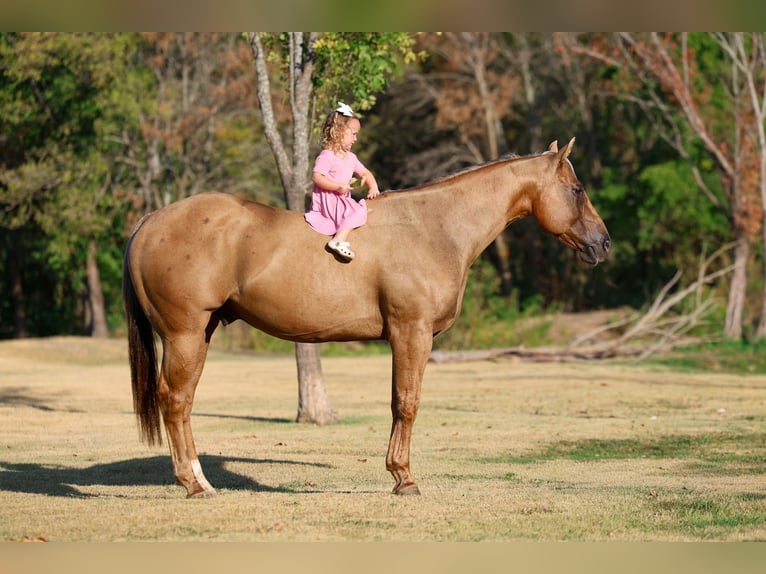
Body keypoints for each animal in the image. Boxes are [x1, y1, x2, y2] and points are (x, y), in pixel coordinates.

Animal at [123, 138, 610, 498]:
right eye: (577, 190)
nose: (603, 244)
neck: (433, 228)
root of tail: (150, 220)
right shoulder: (412, 334)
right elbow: (406, 403)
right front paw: (404, 478)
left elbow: (400, 403)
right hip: (185, 334)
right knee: (175, 400)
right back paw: (192, 484)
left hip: (199, 335)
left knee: (183, 402)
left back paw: (201, 480)